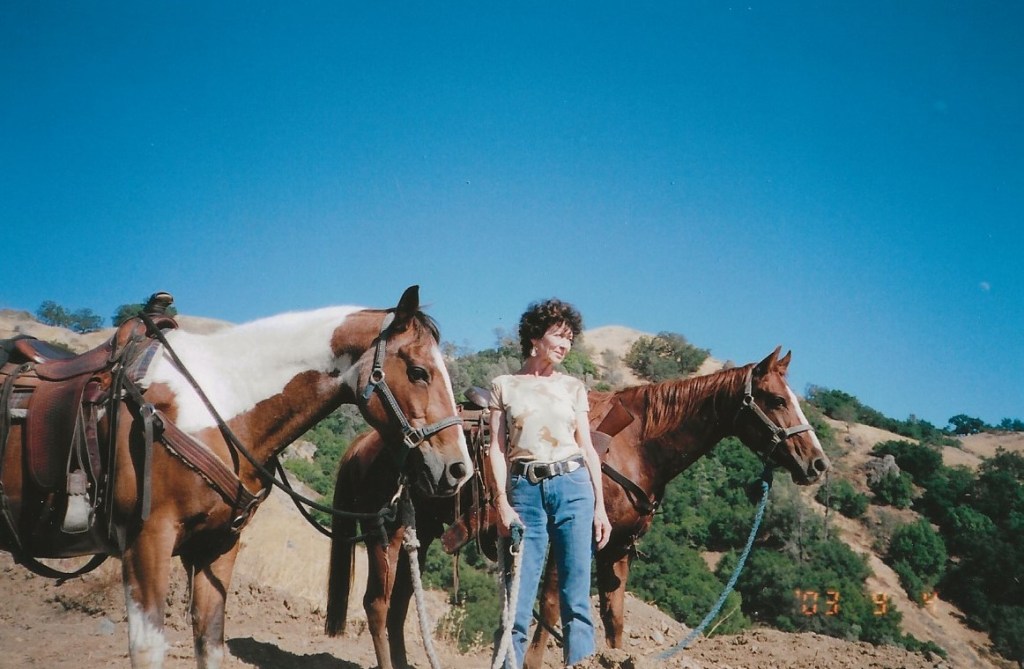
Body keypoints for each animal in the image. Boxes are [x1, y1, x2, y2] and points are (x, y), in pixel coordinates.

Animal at [0, 285, 473, 669]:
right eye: (418, 372)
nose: (458, 468)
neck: (215, 406)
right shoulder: (145, 542)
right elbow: (148, 649)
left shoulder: (219, 547)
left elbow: (210, 644)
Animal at [325, 346, 830, 669]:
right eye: (776, 399)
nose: (818, 463)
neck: (636, 445)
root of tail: (363, 442)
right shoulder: (569, 538)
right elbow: (550, 609)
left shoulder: (617, 550)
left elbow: (614, 619)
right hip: (385, 534)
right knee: (377, 605)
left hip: (421, 534)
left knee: (397, 609)